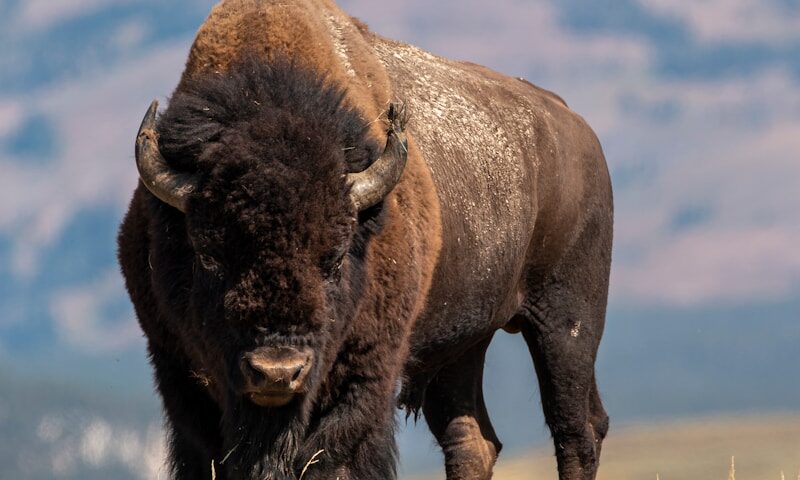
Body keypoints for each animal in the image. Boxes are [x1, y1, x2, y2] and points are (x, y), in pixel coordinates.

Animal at [117, 0, 612, 480]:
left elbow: (332, 456)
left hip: (566, 324)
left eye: (334, 259)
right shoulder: (177, 367)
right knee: (473, 442)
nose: (277, 372)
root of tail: (575, 126)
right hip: (463, 345)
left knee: (577, 430)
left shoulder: (367, 372)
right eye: (208, 256)